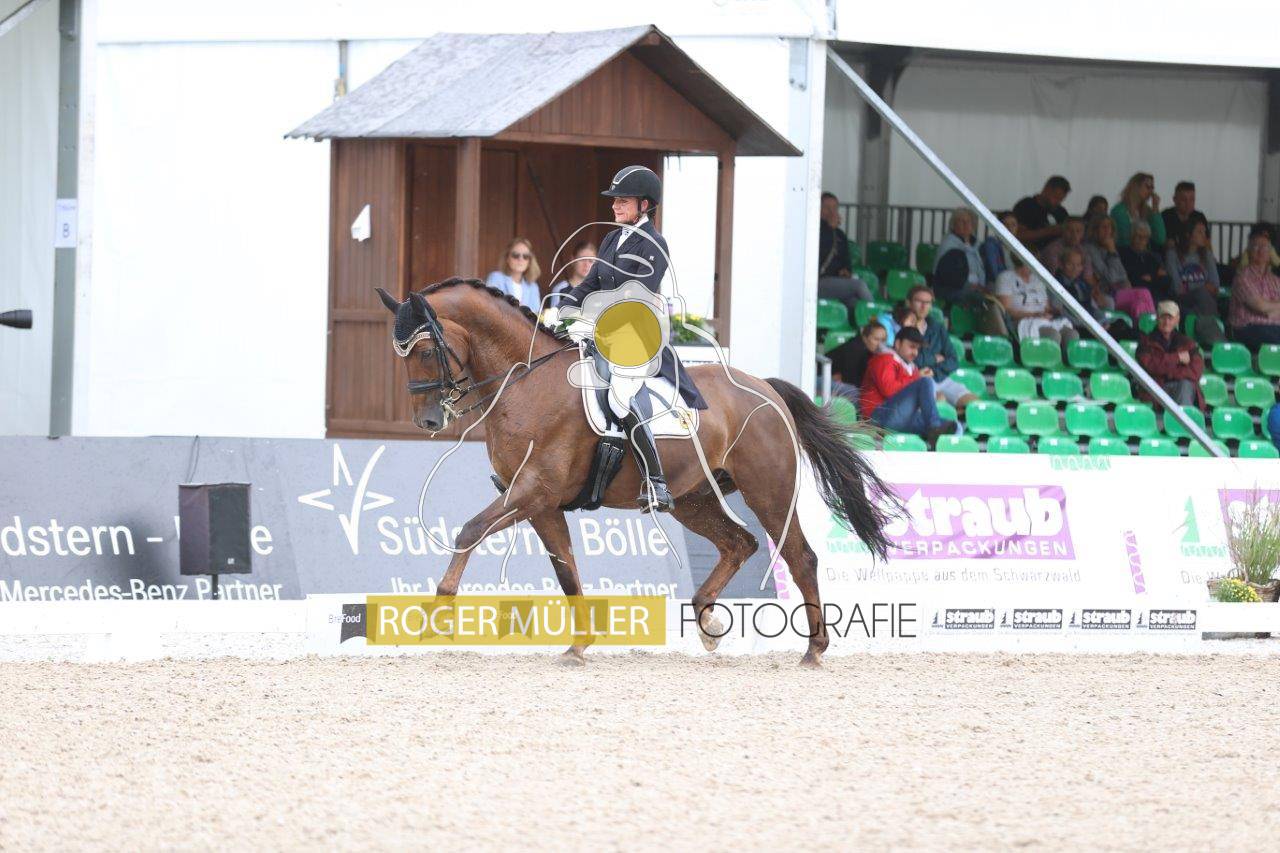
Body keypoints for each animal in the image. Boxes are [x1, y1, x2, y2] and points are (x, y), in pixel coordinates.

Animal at [375, 278, 894, 667]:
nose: (427, 422)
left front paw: (437, 613)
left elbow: (469, 530)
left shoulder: (532, 490)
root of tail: (764, 387)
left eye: (425, 352)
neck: (526, 381)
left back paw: (813, 650)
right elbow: (565, 569)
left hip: (769, 491)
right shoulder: (540, 502)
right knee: (739, 543)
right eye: (400, 354)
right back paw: (708, 623)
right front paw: (579, 645)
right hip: (694, 501)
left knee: (799, 556)